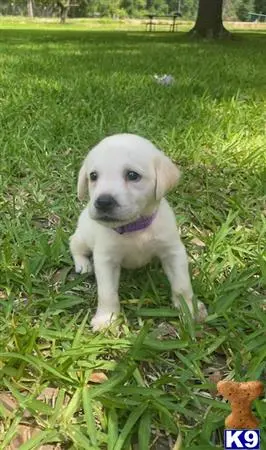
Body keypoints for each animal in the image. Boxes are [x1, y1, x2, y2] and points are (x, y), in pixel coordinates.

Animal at [69, 134, 207, 330]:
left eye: (132, 175)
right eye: (93, 176)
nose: (103, 202)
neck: (134, 228)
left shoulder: (173, 252)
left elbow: (182, 285)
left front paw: (189, 308)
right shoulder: (106, 260)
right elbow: (107, 293)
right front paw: (106, 318)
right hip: (83, 236)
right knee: (73, 244)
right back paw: (82, 264)